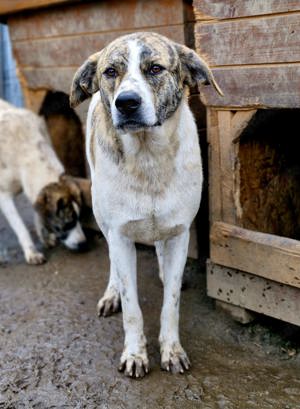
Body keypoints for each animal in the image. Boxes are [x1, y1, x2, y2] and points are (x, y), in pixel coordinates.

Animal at [0, 100, 86, 262]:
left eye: (79, 218)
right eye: (68, 223)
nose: (83, 244)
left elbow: (37, 214)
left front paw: (44, 237)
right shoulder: (3, 197)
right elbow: (21, 228)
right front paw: (31, 252)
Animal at [69, 31, 220, 376]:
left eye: (155, 68)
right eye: (111, 72)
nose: (126, 103)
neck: (148, 158)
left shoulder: (180, 232)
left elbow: (171, 303)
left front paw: (172, 350)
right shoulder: (121, 236)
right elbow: (132, 308)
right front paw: (135, 354)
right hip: (102, 216)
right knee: (111, 259)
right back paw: (111, 293)